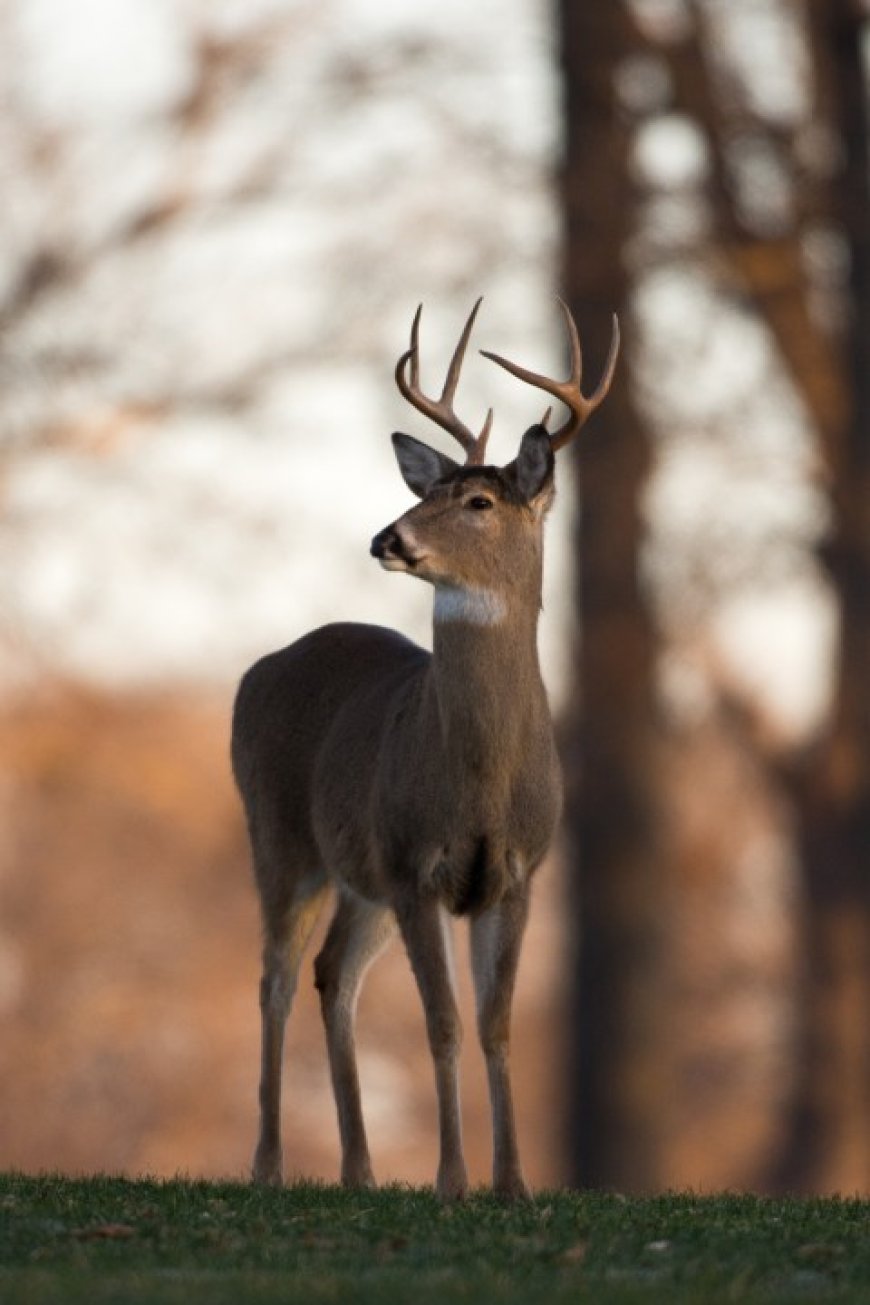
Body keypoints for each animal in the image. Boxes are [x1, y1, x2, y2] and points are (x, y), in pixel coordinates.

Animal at [231, 297, 619, 1200]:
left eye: (477, 500)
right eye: (427, 489)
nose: (387, 537)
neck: (479, 780)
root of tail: (255, 671)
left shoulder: (517, 871)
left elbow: (496, 1024)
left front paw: (512, 1182)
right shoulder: (415, 864)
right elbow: (442, 1023)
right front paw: (450, 1177)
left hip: (359, 876)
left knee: (332, 974)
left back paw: (360, 1169)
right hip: (280, 836)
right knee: (274, 978)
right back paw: (268, 1162)